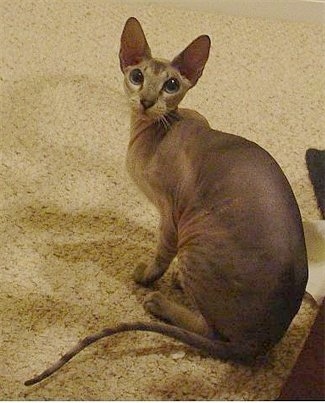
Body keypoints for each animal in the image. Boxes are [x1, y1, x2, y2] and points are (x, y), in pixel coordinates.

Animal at [24, 16, 308, 388]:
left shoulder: (171, 212)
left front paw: (146, 277)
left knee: (211, 331)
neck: (149, 129)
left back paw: (159, 301)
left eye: (171, 84)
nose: (146, 100)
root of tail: (262, 343)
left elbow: (160, 253)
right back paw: (179, 285)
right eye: (137, 76)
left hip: (196, 241)